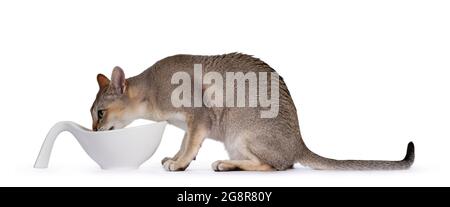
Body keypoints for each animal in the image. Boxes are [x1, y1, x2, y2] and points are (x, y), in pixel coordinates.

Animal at [90, 53, 414, 171]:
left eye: (100, 114)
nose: (93, 130)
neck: (152, 89)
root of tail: (299, 143)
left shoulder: (199, 116)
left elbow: (191, 142)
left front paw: (179, 164)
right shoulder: (190, 125)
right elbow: (186, 142)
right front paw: (177, 157)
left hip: (240, 132)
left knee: (278, 166)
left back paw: (225, 165)